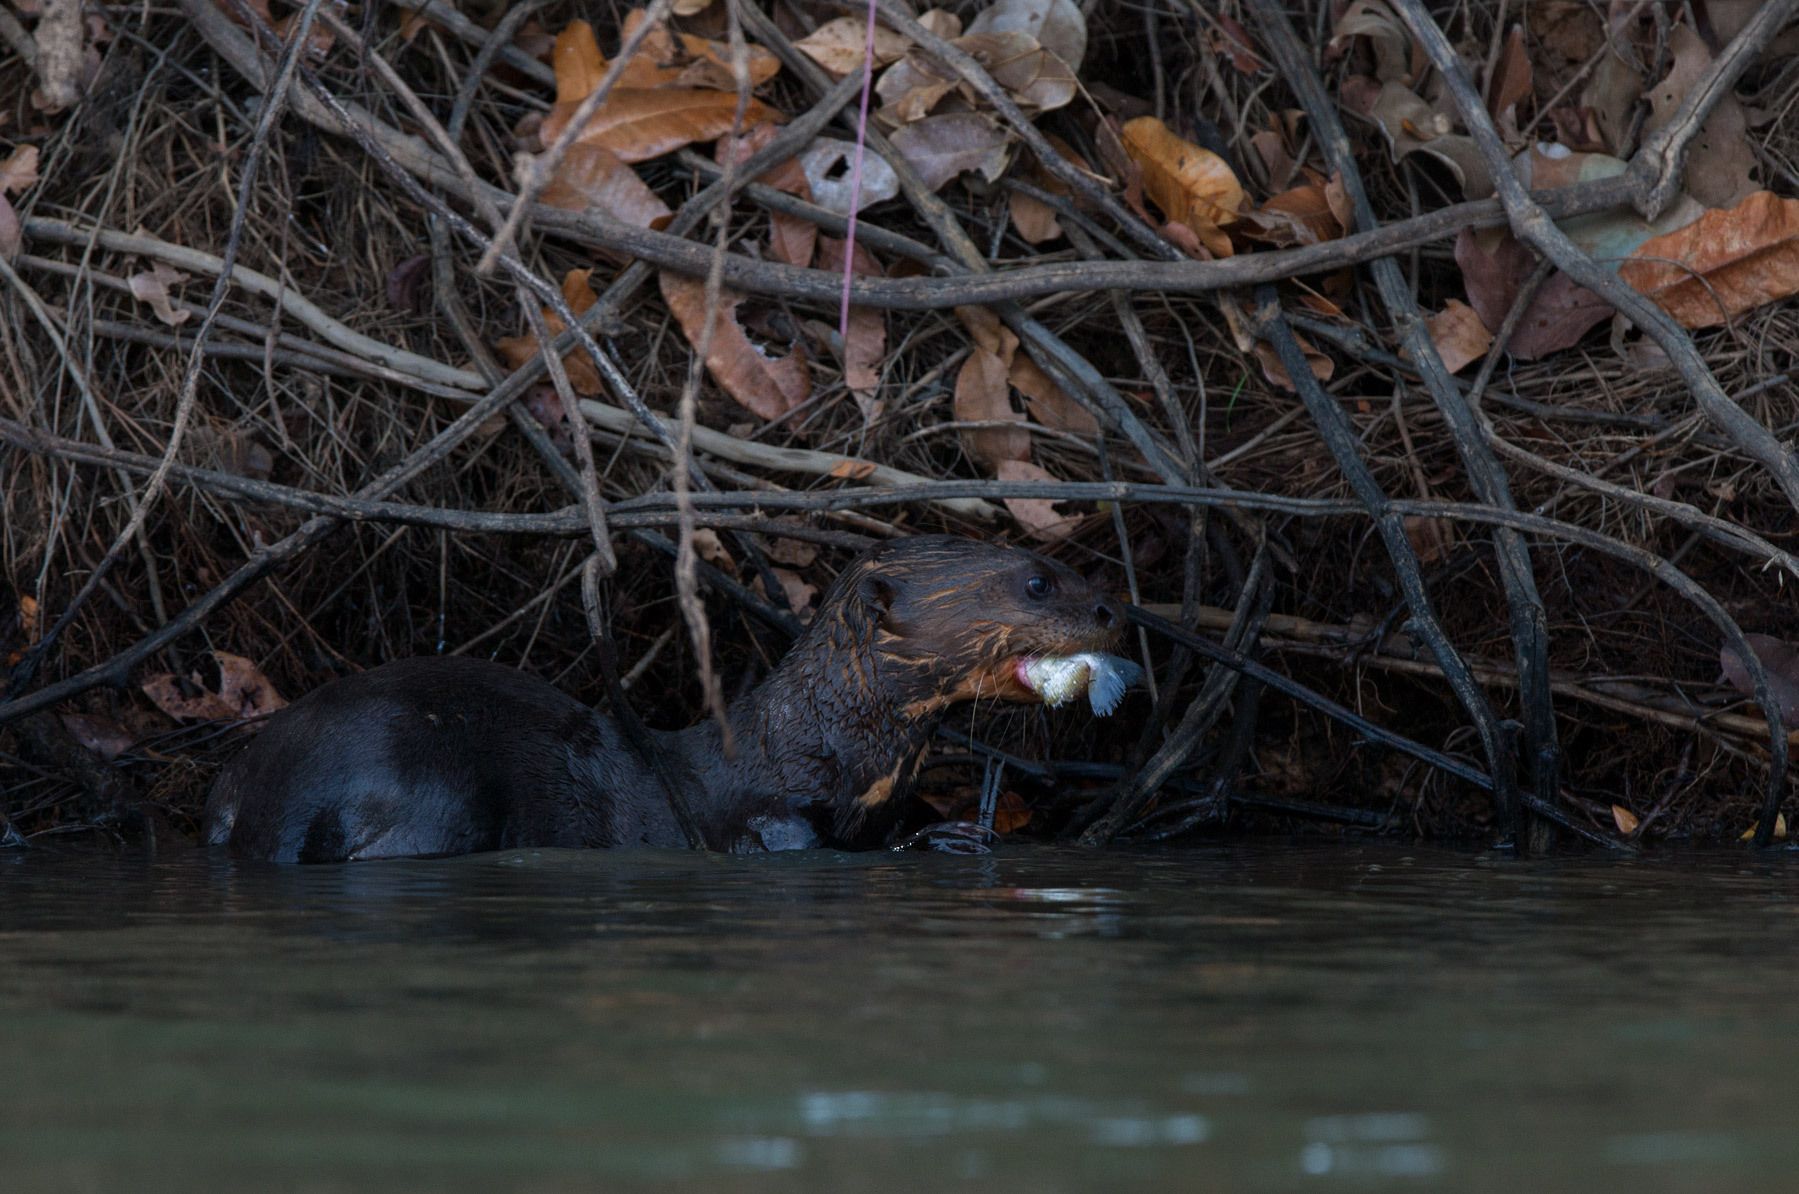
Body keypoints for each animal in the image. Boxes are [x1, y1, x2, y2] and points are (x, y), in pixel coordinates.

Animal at [204, 537, 1127, 862]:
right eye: (1037, 581)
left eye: (1067, 565)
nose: (1111, 609)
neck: (823, 750)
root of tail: (266, 791)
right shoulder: (766, 816)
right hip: (423, 790)